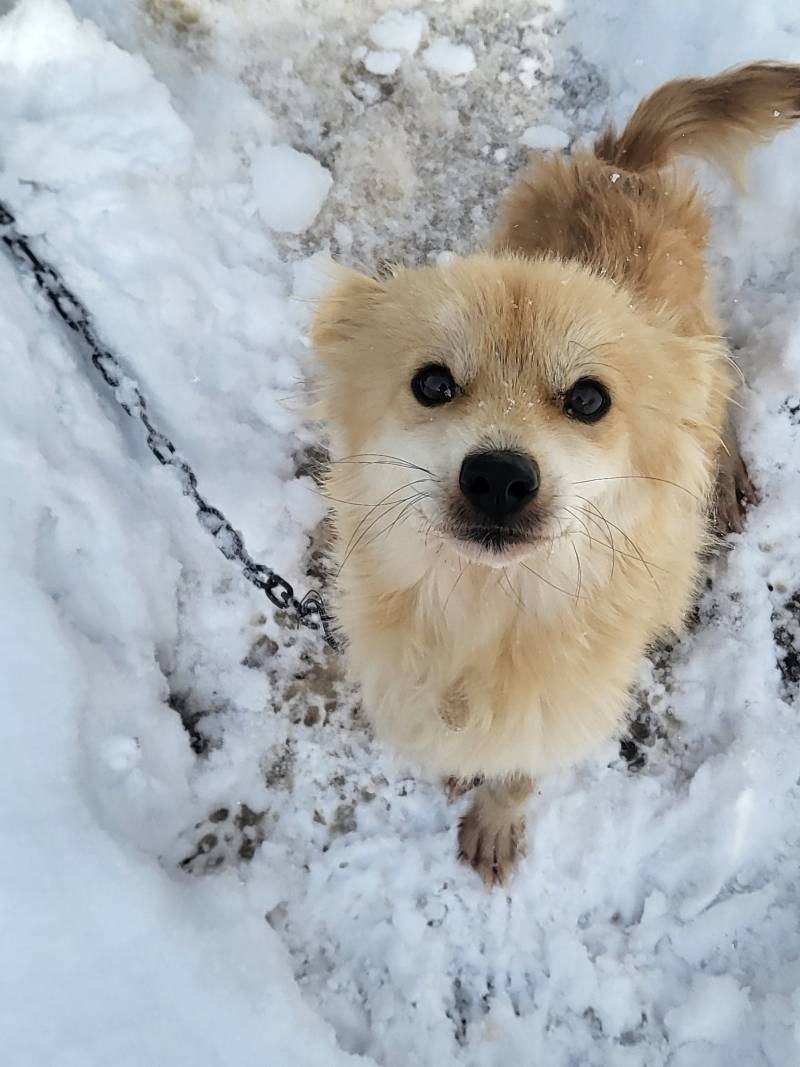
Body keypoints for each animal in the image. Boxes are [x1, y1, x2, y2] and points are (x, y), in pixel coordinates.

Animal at [309, 62, 797, 887]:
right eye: (432, 383)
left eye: (589, 399)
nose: (498, 478)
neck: (490, 610)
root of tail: (622, 164)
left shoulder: (570, 700)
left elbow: (521, 769)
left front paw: (497, 818)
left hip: (702, 335)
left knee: (716, 400)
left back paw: (725, 473)